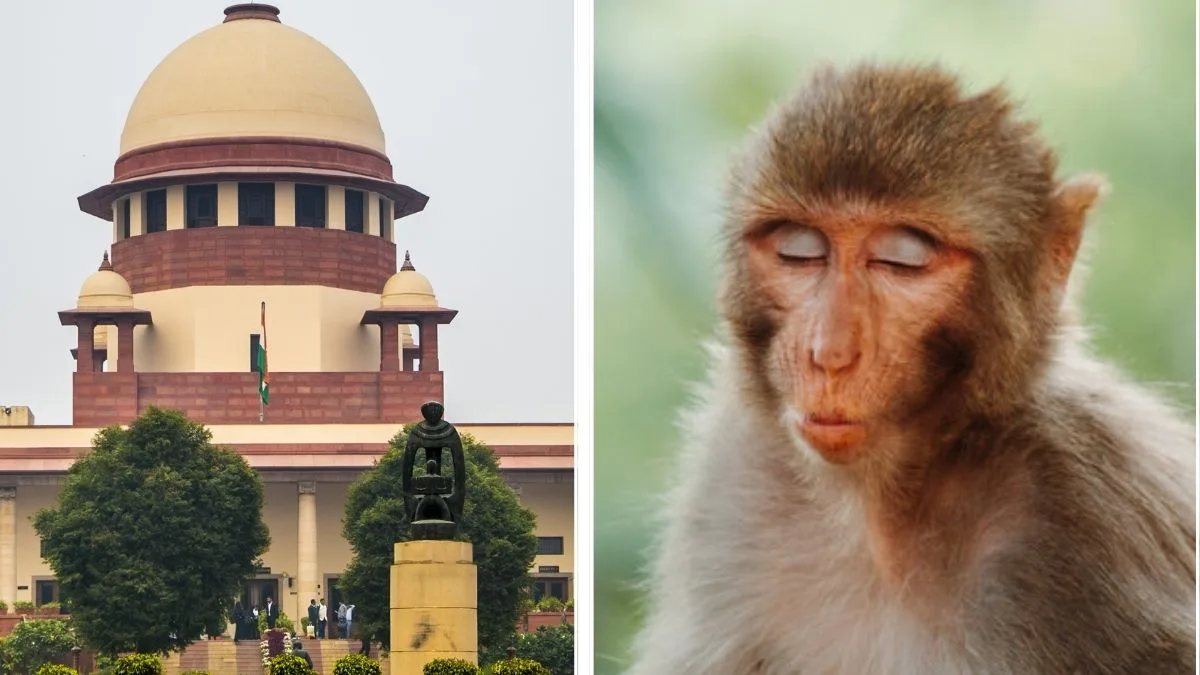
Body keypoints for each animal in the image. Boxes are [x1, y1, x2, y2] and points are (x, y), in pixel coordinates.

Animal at [623, 63, 1196, 675]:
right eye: (801, 251)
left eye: (901, 260)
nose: (829, 354)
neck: (881, 514)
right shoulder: (732, 474)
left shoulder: (1087, 511)